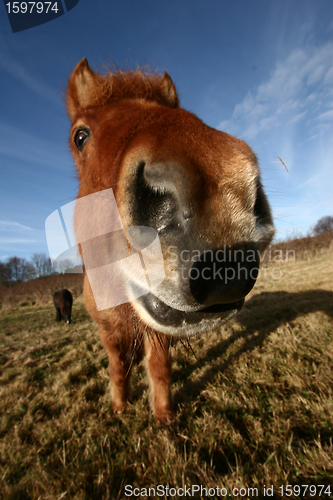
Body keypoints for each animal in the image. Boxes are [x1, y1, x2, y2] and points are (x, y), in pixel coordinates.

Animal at [66, 57, 274, 422]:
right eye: (80, 136)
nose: (221, 187)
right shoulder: (108, 332)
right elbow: (117, 366)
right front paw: (119, 406)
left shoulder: (160, 335)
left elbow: (159, 366)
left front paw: (164, 416)